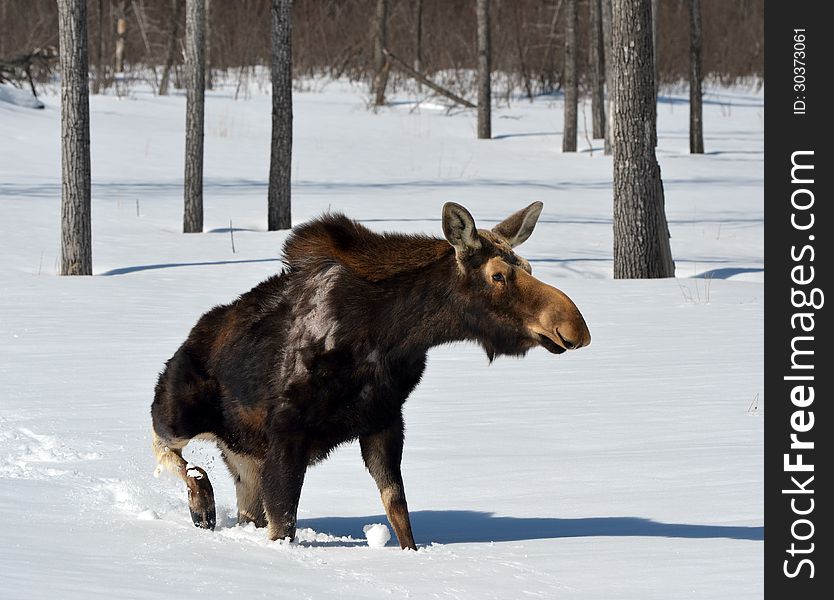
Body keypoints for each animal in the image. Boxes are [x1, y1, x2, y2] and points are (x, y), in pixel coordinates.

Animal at [151, 202, 592, 548]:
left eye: (529, 266)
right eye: (498, 275)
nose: (574, 328)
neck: (391, 336)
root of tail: (189, 339)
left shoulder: (384, 420)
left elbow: (399, 512)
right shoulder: (288, 431)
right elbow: (284, 524)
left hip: (246, 455)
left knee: (244, 505)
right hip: (178, 410)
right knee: (169, 449)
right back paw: (202, 503)